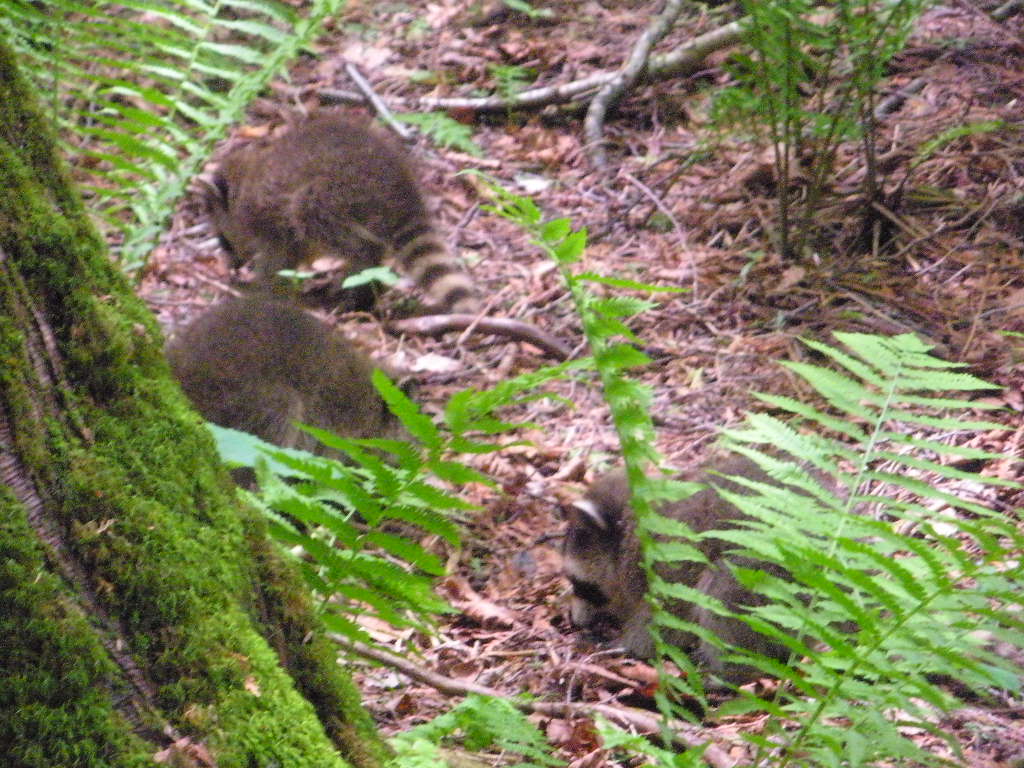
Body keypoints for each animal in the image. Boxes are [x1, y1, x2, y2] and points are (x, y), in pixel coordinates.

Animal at [204, 111, 476, 314]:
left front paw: (259, 288)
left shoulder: (269, 222)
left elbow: (277, 262)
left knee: (340, 234)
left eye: (223, 239)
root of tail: (400, 188)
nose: (231, 266)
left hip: (333, 195)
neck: (241, 184)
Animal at [562, 455, 793, 685]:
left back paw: (731, 673)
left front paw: (625, 644)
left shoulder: (673, 559)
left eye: (583, 586)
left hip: (764, 570)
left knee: (721, 593)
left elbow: (668, 617)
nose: (575, 622)